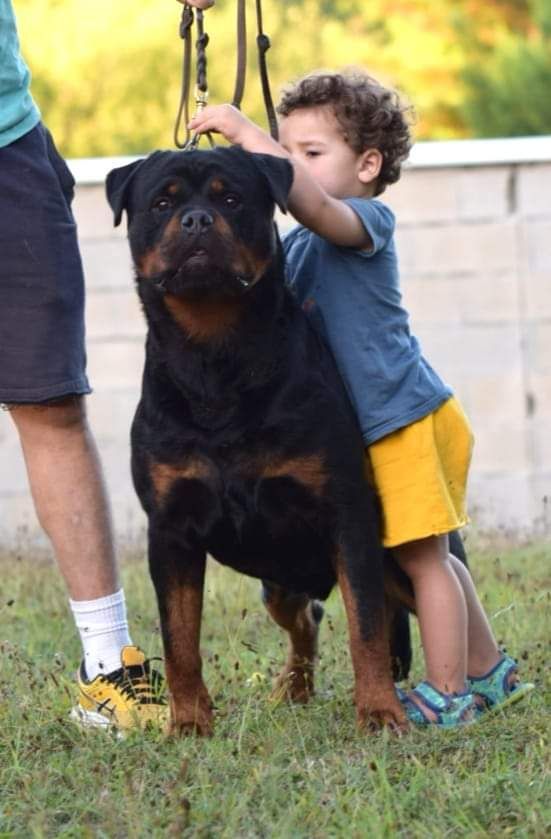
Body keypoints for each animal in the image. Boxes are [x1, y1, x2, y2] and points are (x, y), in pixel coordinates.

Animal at [106, 148, 418, 740]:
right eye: (162, 203)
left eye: (231, 199)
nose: (197, 220)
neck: (215, 358)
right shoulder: (171, 528)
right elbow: (179, 638)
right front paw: (188, 723)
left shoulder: (348, 517)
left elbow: (365, 625)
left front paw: (380, 713)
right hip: (279, 584)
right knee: (306, 620)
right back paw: (292, 689)